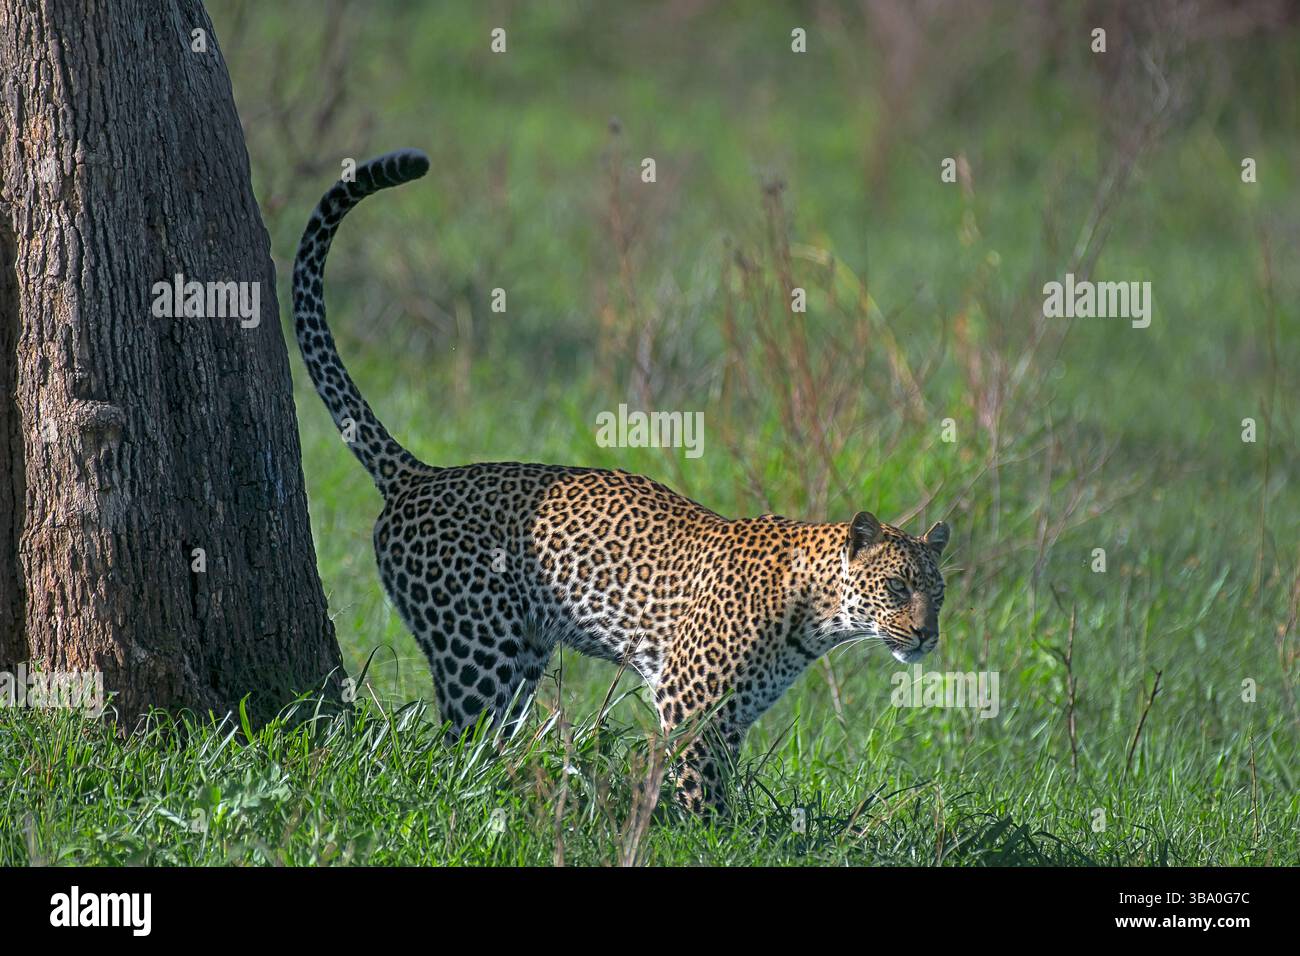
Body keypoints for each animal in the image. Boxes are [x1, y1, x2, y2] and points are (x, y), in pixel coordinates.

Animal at [291, 150, 951, 813]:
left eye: (938, 595)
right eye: (896, 588)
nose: (926, 636)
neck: (817, 615)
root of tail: (419, 476)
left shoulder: (730, 717)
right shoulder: (690, 704)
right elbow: (698, 786)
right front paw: (702, 828)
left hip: (522, 656)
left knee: (482, 743)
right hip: (475, 652)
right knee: (452, 746)